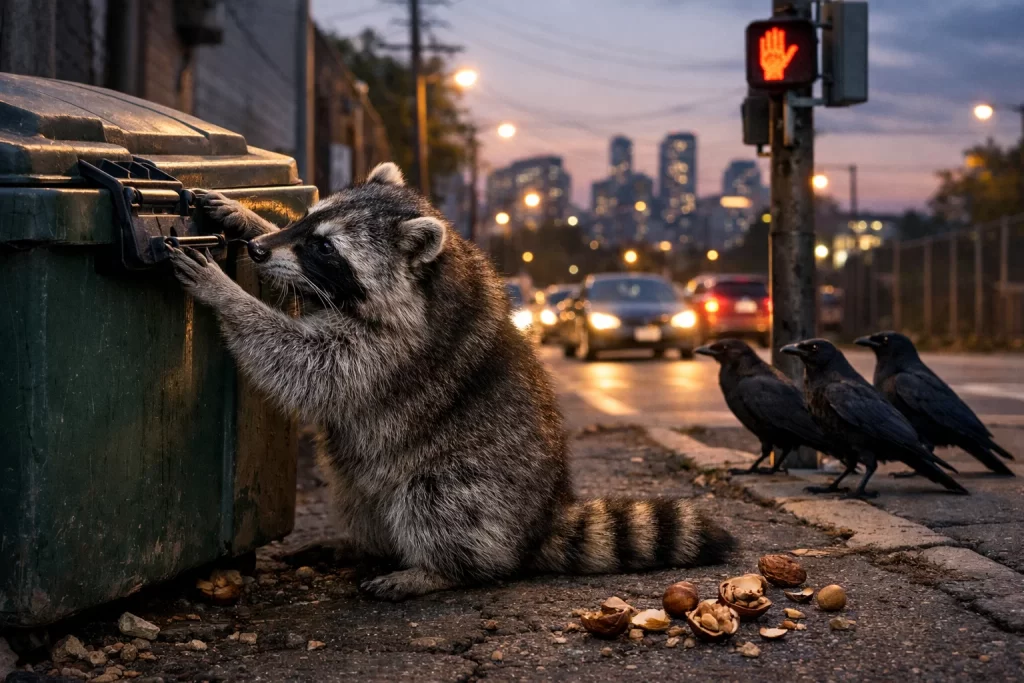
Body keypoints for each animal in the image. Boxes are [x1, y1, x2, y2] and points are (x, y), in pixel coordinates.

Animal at [169, 162, 734, 600]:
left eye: (325, 249)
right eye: (307, 219)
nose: (259, 252)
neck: (430, 275)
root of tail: (542, 519)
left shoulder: (396, 350)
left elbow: (309, 365)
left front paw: (228, 295)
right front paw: (246, 216)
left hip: (479, 480)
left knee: (441, 503)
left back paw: (438, 569)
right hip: (362, 482)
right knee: (359, 495)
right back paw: (362, 545)